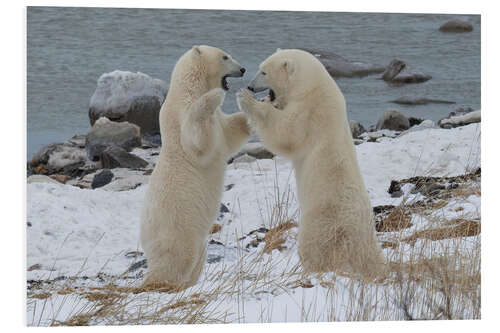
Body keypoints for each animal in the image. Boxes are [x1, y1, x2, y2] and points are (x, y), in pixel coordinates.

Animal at [140, 45, 250, 290]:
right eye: (225, 56)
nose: (243, 69)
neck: (188, 89)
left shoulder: (219, 125)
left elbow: (229, 133)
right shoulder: (181, 117)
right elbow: (198, 140)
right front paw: (215, 96)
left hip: (198, 241)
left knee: (197, 261)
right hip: (177, 227)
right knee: (177, 260)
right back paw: (159, 283)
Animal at [236, 48, 384, 278]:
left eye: (263, 71)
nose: (251, 86)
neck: (312, 85)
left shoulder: (309, 111)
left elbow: (285, 132)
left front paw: (246, 99)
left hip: (322, 219)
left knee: (314, 244)